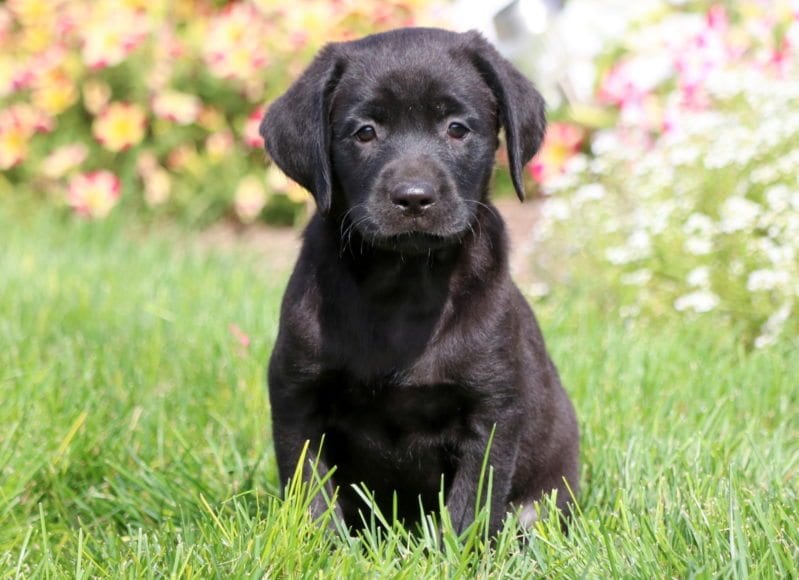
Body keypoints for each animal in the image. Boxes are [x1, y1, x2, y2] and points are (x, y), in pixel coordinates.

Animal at [262, 27, 580, 536]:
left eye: (457, 128)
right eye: (365, 132)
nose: (413, 198)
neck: (403, 286)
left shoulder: (491, 409)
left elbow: (470, 508)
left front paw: (461, 550)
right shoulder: (297, 395)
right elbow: (310, 494)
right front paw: (318, 544)